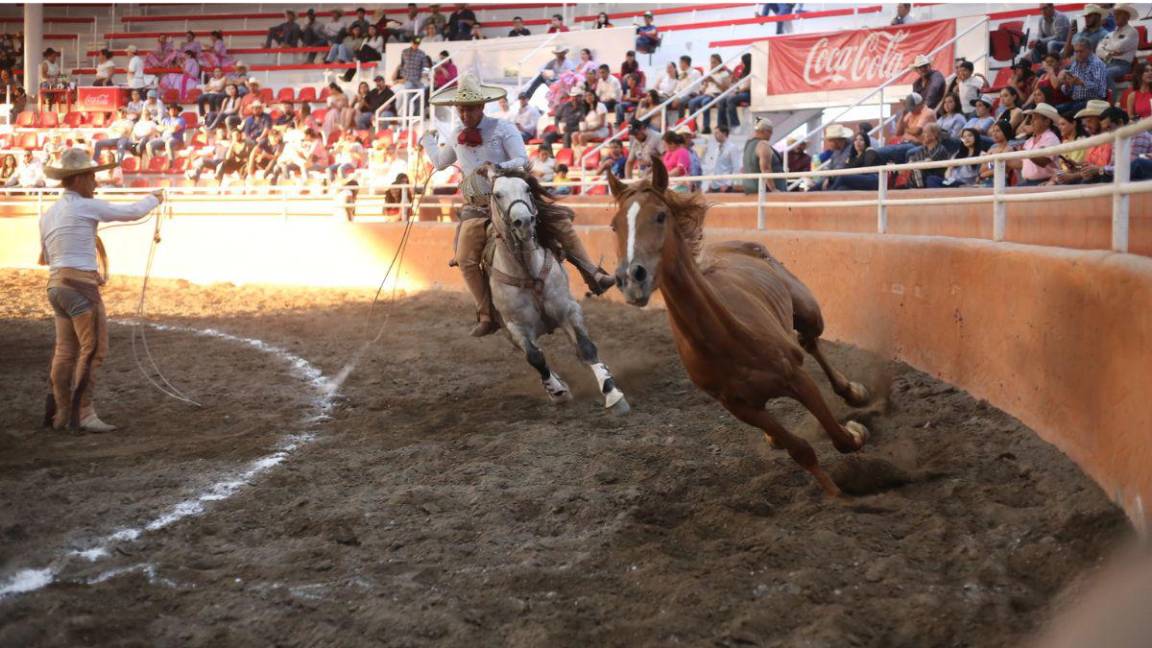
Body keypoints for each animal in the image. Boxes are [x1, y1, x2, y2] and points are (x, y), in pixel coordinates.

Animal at [481, 164, 631, 408]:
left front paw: (612, 392)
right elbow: (536, 357)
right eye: (497, 194)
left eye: (527, 189)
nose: (524, 221)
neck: (528, 270)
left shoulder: (568, 310)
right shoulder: (516, 327)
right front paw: (558, 390)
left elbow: (586, 347)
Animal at [608, 157, 866, 493]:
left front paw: (856, 434)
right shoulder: (740, 407)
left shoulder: (798, 378)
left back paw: (853, 392)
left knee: (810, 342)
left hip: (809, 313)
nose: (631, 278)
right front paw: (838, 496)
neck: (728, 340)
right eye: (615, 224)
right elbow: (801, 451)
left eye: (660, 216)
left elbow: (840, 439)